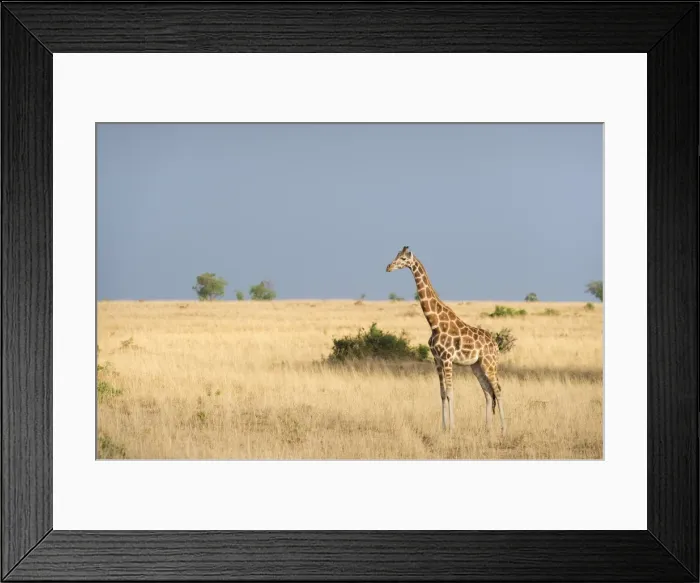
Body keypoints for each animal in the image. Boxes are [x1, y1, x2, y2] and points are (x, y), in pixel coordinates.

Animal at [386, 246, 506, 434]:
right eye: (396, 255)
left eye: (404, 258)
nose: (388, 267)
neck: (434, 323)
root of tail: (496, 345)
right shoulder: (437, 359)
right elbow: (442, 393)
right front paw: (443, 427)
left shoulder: (448, 358)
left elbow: (450, 392)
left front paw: (452, 428)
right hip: (476, 365)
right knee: (487, 391)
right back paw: (487, 428)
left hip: (490, 363)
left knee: (498, 390)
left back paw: (503, 429)